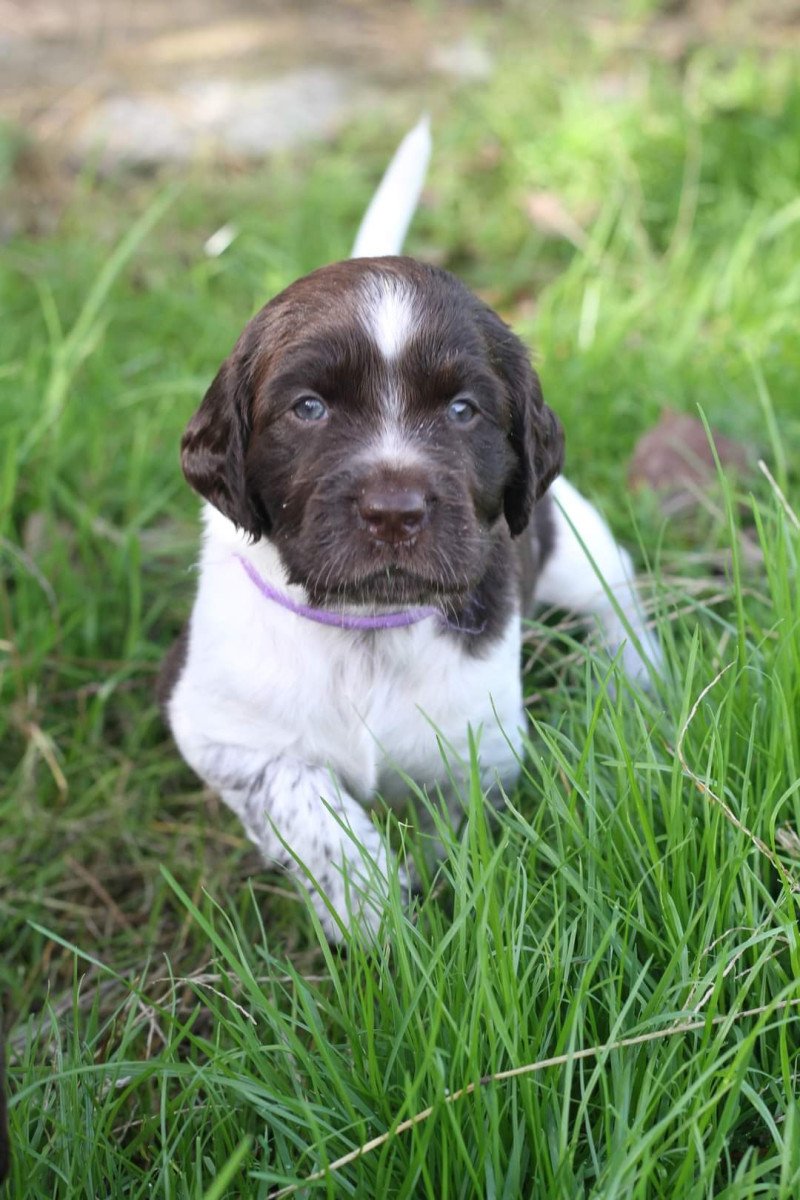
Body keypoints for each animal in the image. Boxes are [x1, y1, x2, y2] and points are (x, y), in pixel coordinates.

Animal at [159, 119, 662, 936]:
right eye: (308, 408)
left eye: (463, 410)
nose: (394, 512)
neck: (366, 630)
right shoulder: (211, 724)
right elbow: (297, 790)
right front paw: (364, 903)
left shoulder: (484, 753)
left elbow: (453, 833)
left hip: (575, 542)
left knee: (617, 599)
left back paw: (640, 684)